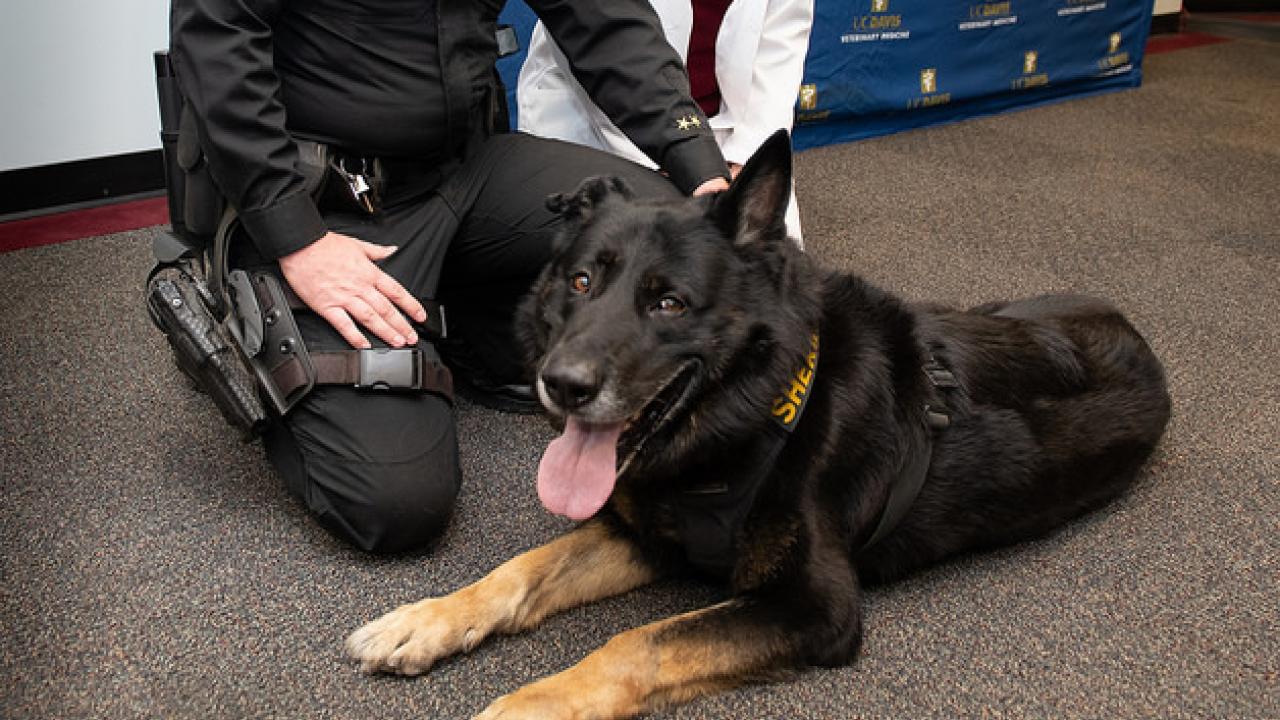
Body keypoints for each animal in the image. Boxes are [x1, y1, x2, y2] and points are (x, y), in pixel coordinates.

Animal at [348, 131, 1172, 712]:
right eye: (580, 283)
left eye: (669, 303)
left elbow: (636, 642)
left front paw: (528, 706)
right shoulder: (647, 536)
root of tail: (1128, 326)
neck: (753, 418)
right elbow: (521, 569)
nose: (560, 386)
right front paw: (427, 619)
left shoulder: (815, 607)